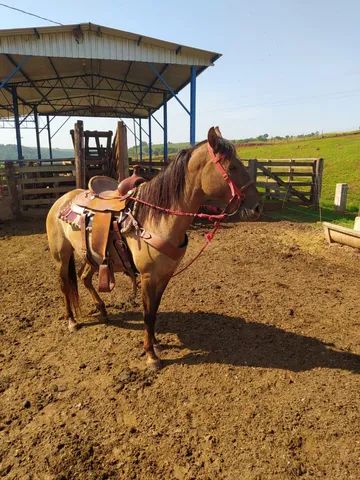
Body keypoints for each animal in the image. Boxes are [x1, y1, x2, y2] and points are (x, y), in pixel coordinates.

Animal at [47, 125, 262, 370]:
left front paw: (156, 342)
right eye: (232, 166)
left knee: (84, 278)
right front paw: (151, 355)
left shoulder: (164, 275)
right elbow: (147, 313)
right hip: (62, 257)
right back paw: (72, 321)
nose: (257, 207)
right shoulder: (148, 276)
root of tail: (61, 201)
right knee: (65, 285)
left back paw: (102, 310)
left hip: (93, 255)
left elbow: (155, 310)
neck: (157, 218)